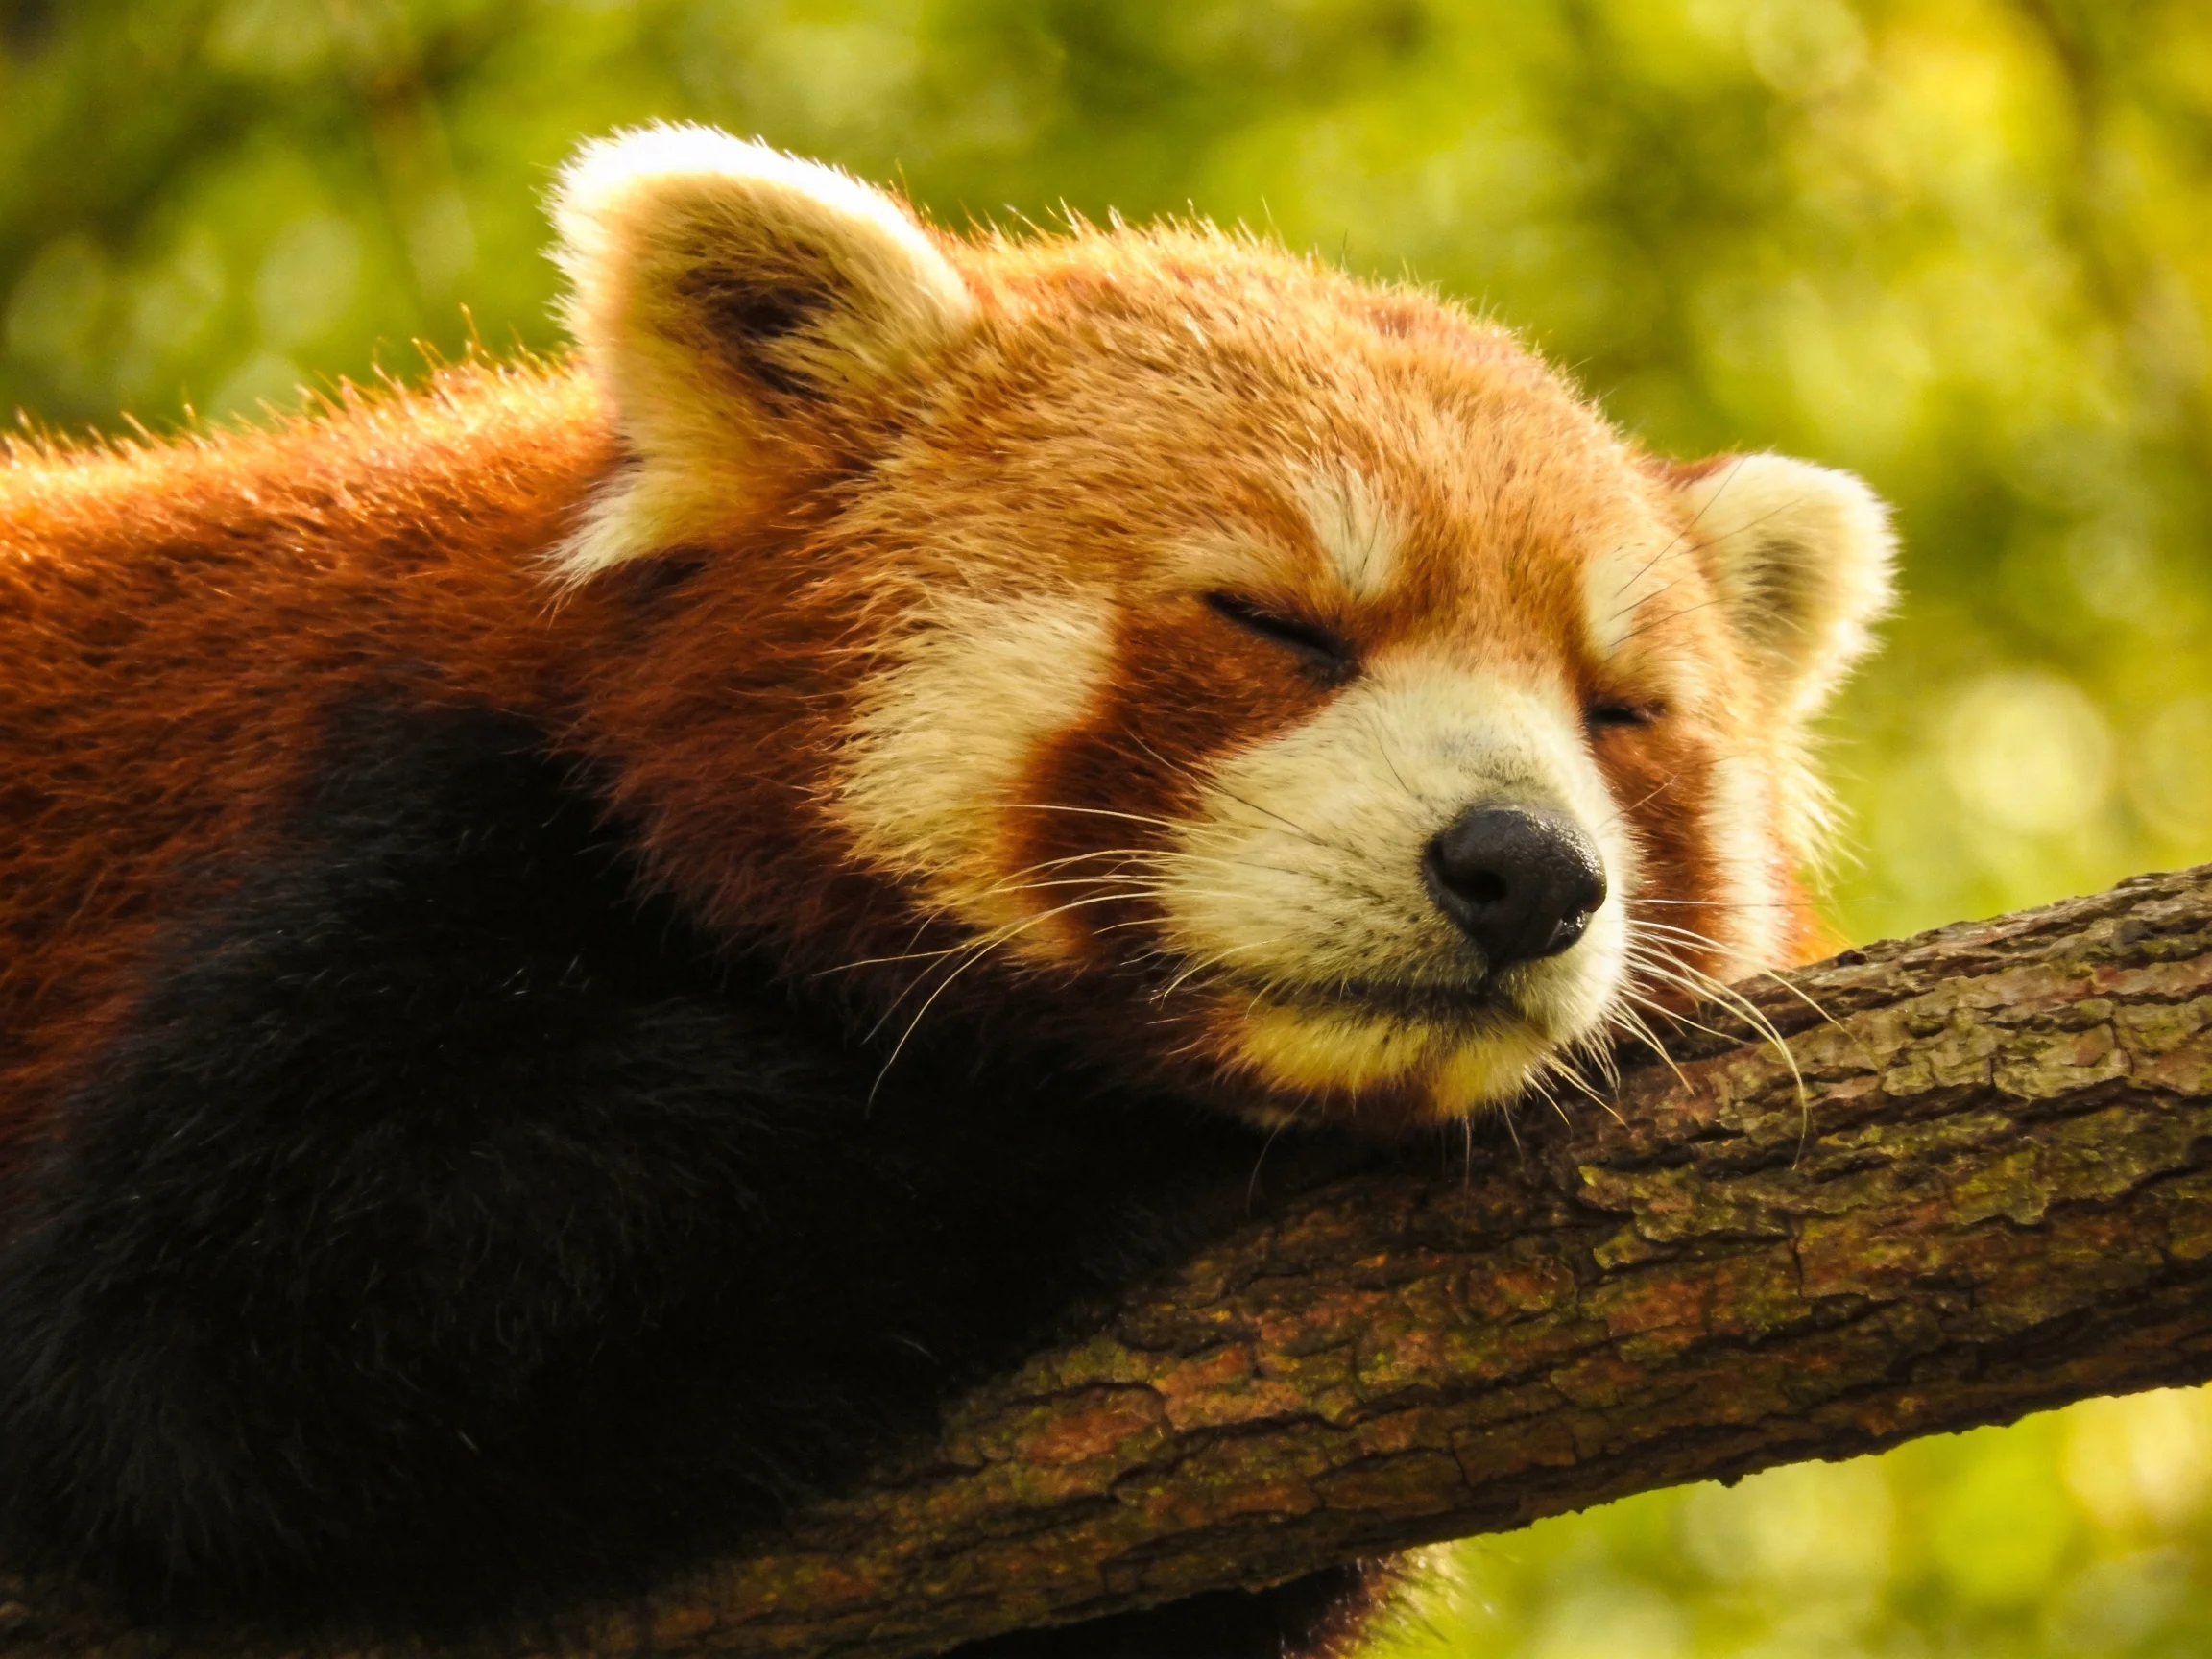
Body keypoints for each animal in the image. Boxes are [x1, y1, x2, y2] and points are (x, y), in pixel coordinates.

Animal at [0, 126, 1893, 1654]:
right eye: (1276, 625)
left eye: (1618, 711)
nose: (1523, 871)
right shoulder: (375, 820)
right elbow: (238, 1331)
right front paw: (1119, 1142)